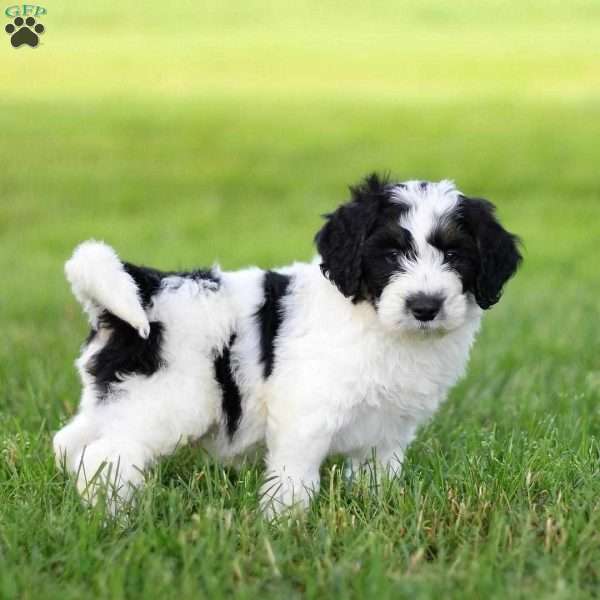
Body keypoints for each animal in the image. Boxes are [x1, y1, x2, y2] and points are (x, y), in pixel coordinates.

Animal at [52, 173, 520, 516]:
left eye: (455, 256)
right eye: (389, 255)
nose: (425, 306)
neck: (374, 321)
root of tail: (144, 289)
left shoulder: (389, 428)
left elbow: (380, 471)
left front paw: (381, 508)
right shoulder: (306, 411)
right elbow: (295, 473)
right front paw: (284, 521)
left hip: (118, 399)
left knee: (70, 442)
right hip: (165, 401)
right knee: (104, 456)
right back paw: (114, 516)